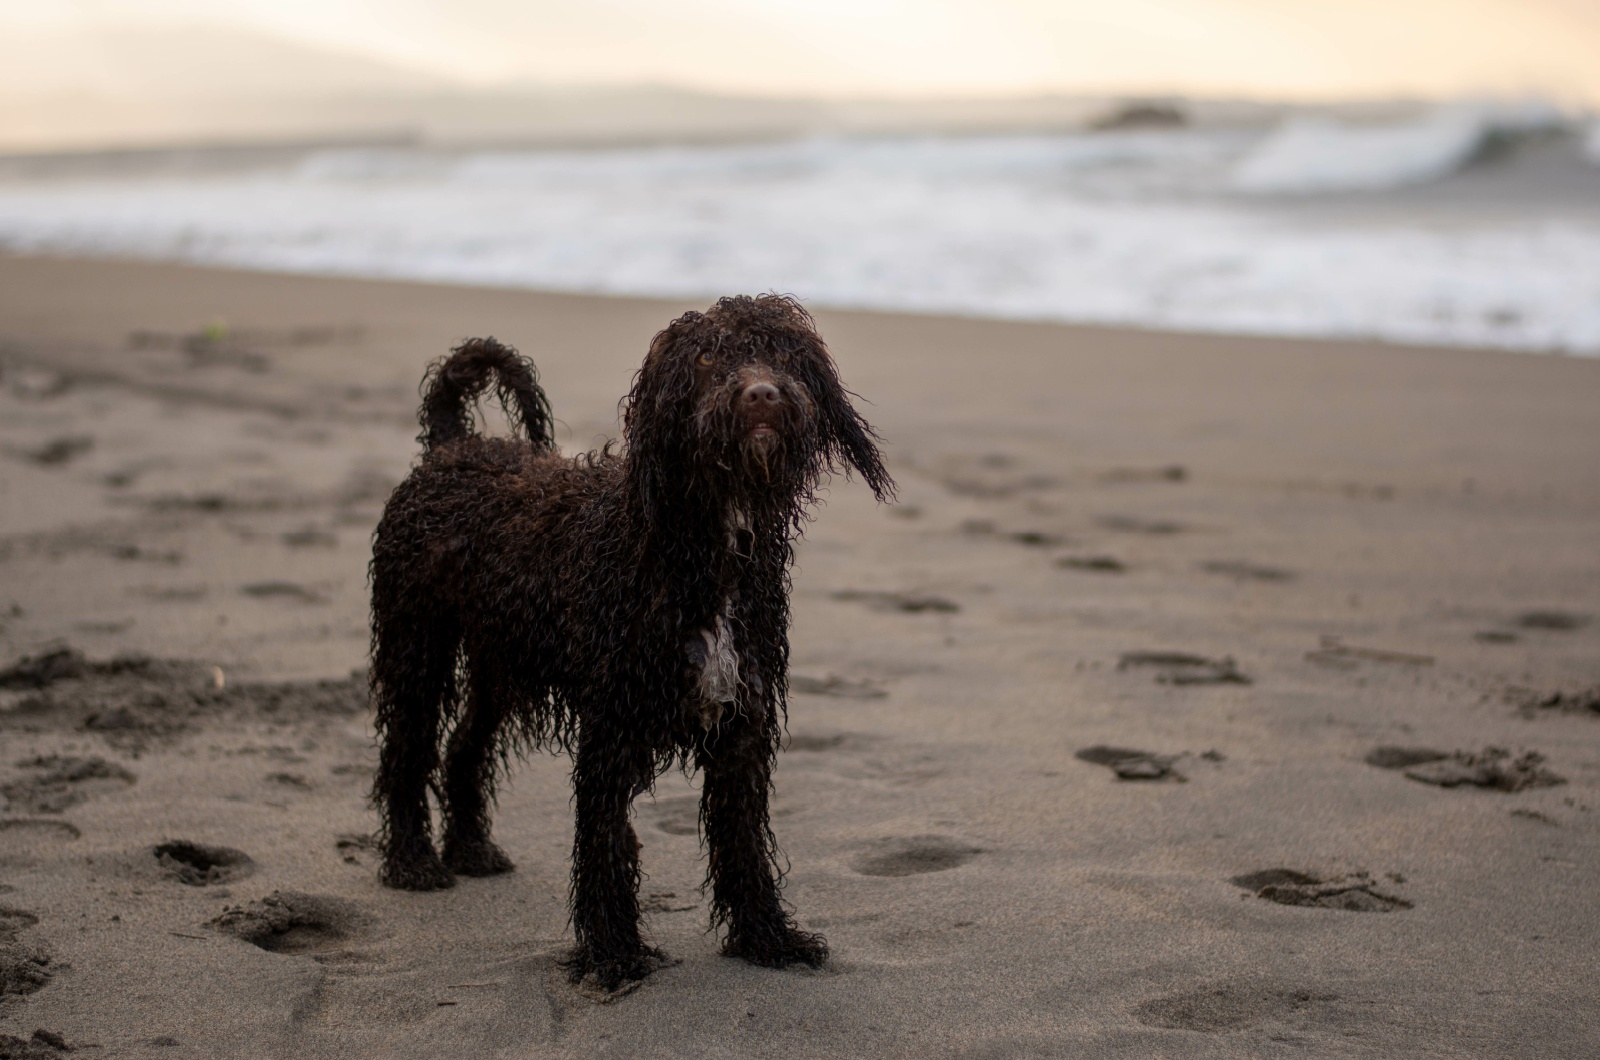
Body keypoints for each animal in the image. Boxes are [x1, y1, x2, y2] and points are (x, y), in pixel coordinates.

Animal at [368, 294, 896, 992]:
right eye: (707, 358)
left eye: (783, 354)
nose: (761, 394)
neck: (693, 547)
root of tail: (453, 446)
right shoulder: (613, 726)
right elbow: (604, 842)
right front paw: (613, 951)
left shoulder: (743, 724)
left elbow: (743, 842)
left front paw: (767, 937)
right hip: (416, 643)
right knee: (407, 750)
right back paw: (412, 860)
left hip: (499, 662)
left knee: (463, 747)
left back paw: (472, 849)